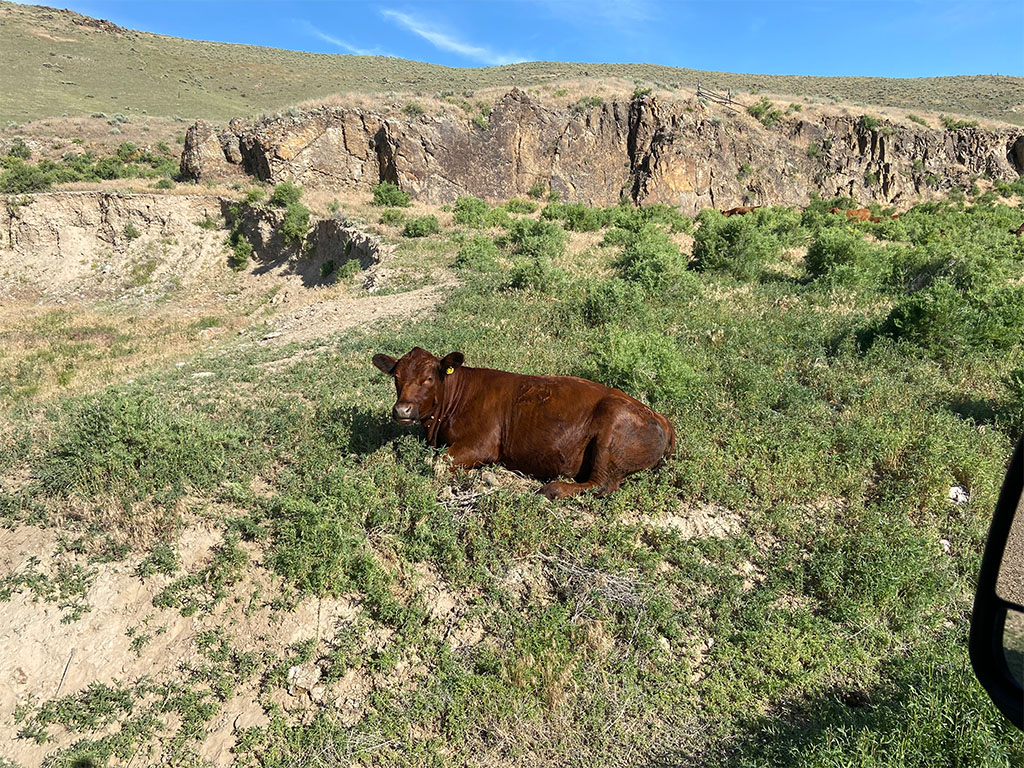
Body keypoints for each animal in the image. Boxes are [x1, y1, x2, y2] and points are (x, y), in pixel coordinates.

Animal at [372, 347, 676, 500]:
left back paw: (552, 489)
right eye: (396, 377)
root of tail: (659, 416)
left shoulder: (483, 443)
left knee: (601, 484)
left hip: (610, 431)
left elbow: (435, 464)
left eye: (428, 378)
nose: (402, 410)